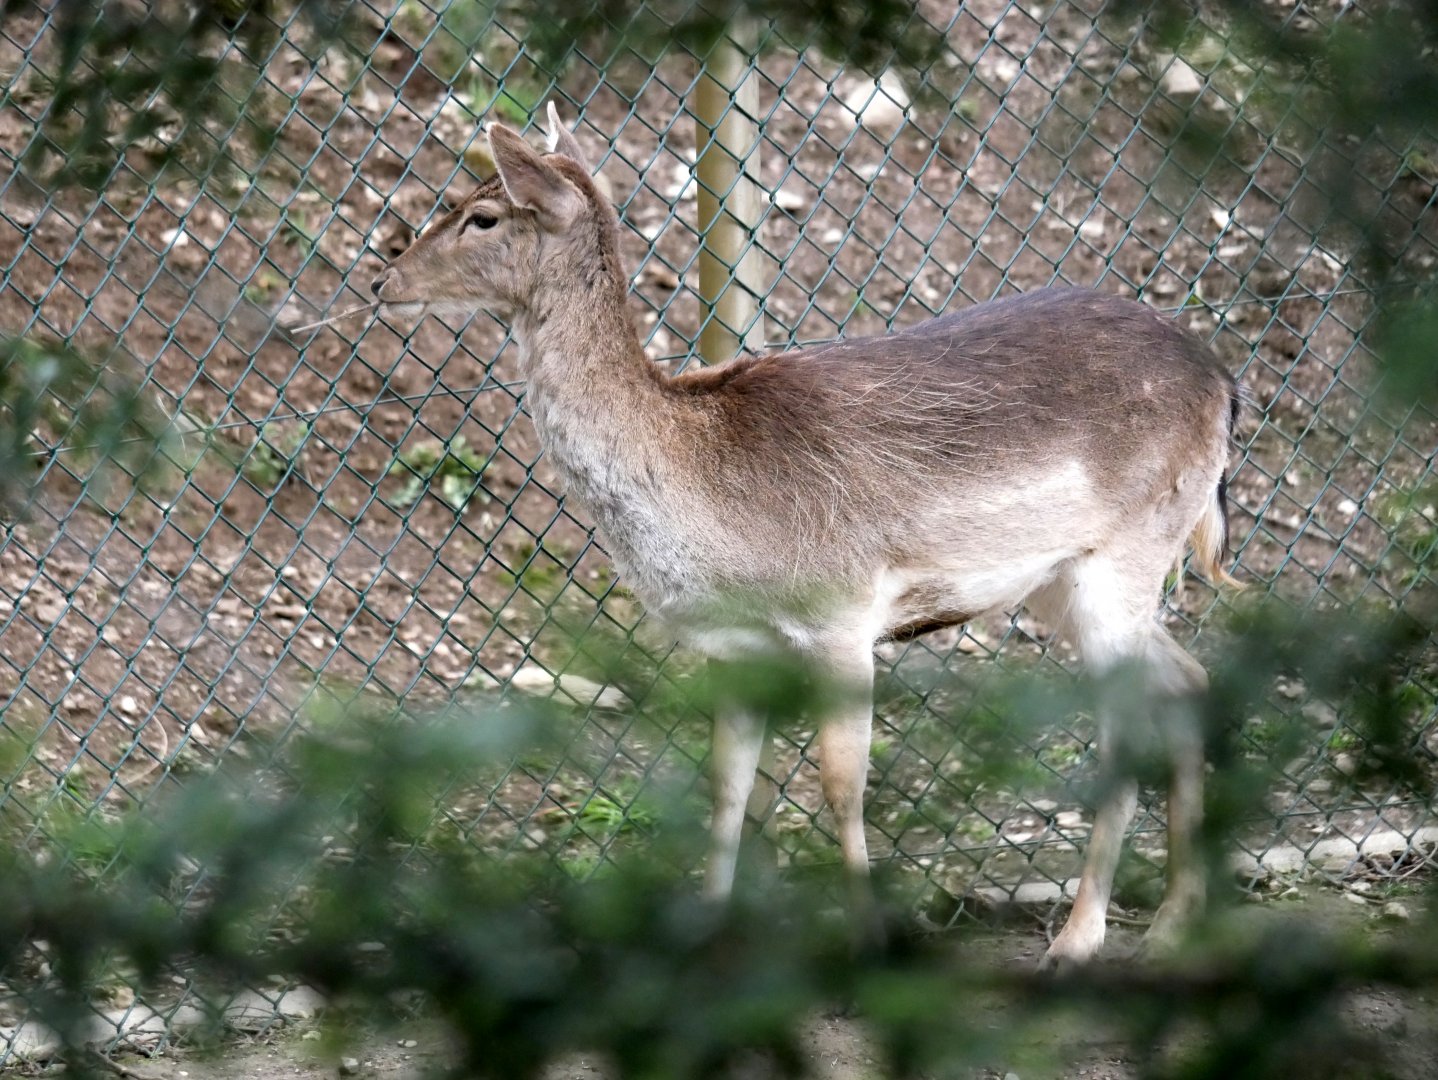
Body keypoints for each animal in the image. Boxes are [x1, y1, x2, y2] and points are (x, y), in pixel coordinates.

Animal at [369, 103, 1239, 969]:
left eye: (483, 215)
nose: (385, 278)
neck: (703, 498)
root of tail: (1225, 384)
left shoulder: (842, 616)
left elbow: (839, 786)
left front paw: (870, 939)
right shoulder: (732, 647)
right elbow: (726, 788)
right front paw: (706, 932)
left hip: (1129, 550)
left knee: (1127, 729)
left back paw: (1079, 938)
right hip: (1063, 579)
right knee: (1190, 677)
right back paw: (1174, 919)